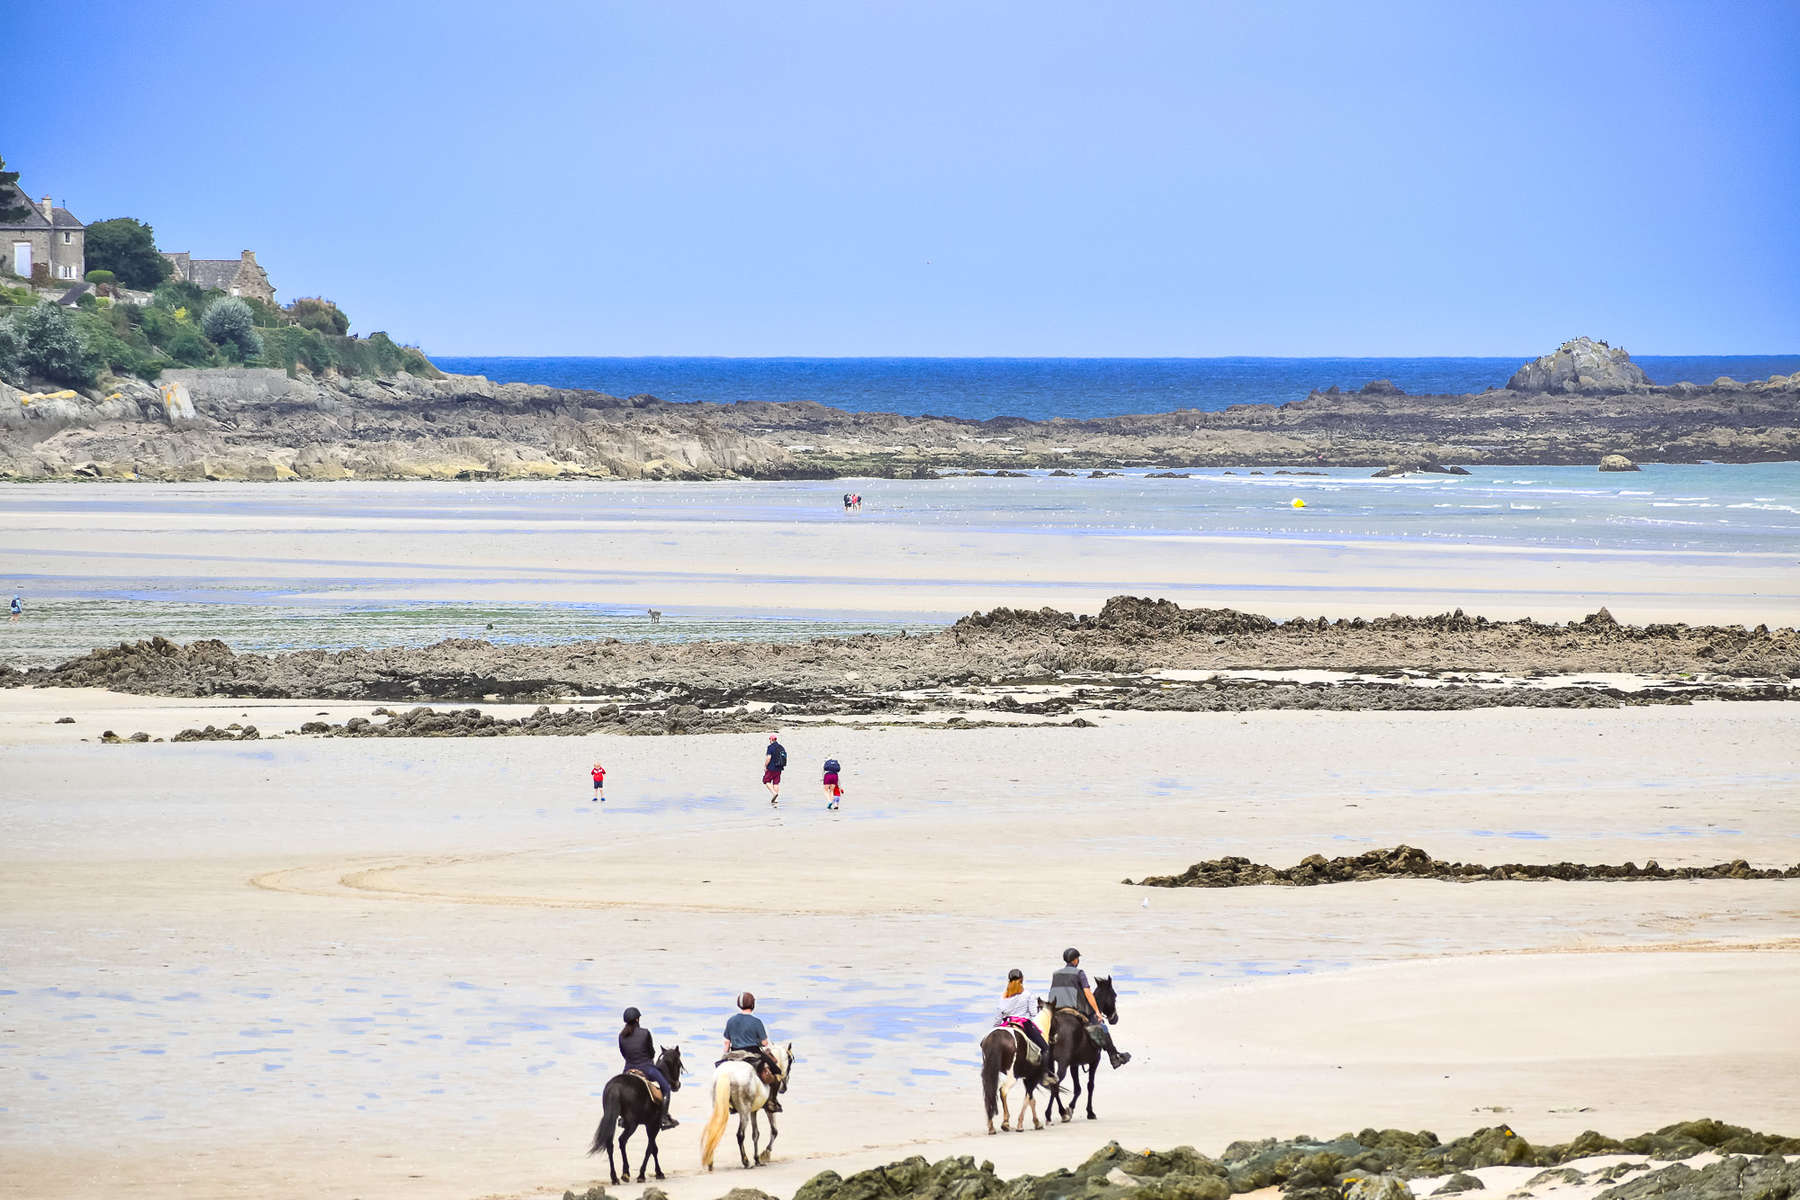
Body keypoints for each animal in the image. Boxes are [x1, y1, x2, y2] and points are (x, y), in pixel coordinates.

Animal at [586, 1043, 684, 1187]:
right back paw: (625, 1173)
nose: (677, 1085)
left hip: (613, 1119)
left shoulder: (649, 1125)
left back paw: (615, 1177)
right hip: (632, 1125)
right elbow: (650, 1149)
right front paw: (643, 1175)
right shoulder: (653, 1125)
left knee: (610, 1144)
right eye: (679, 1064)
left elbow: (653, 1149)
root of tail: (615, 1086)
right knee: (622, 1141)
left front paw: (658, 1172)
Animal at [698, 1043, 792, 1173]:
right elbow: (774, 1131)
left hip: (719, 1106)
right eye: (791, 1062)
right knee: (740, 1135)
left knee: (714, 1129)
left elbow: (756, 1134)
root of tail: (726, 1074)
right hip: (744, 1112)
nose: (784, 1088)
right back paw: (746, 1162)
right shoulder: (766, 1109)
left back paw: (710, 1162)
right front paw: (764, 1155)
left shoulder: (753, 1111)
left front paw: (757, 1159)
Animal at [1044, 978, 1108, 1129]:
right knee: (1055, 1083)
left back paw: (1061, 1112)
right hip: (1063, 1063)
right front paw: (1089, 1112)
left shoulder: (1074, 1064)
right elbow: (1090, 1085)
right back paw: (1050, 1114)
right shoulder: (1094, 1061)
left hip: (1051, 1061)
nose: (1115, 1018)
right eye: (1114, 995)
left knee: (1054, 1084)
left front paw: (1070, 1109)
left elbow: (1078, 1088)